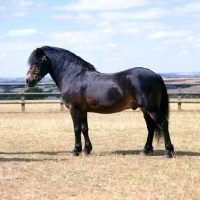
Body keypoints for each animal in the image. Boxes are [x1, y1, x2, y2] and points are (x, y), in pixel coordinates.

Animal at [25, 46, 174, 158]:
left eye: (36, 62)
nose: (28, 80)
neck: (74, 76)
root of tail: (156, 75)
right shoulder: (83, 110)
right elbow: (84, 128)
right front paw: (86, 149)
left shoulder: (74, 109)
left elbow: (76, 128)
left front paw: (76, 150)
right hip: (145, 109)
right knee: (151, 127)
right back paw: (145, 150)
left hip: (151, 108)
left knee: (163, 124)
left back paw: (168, 151)